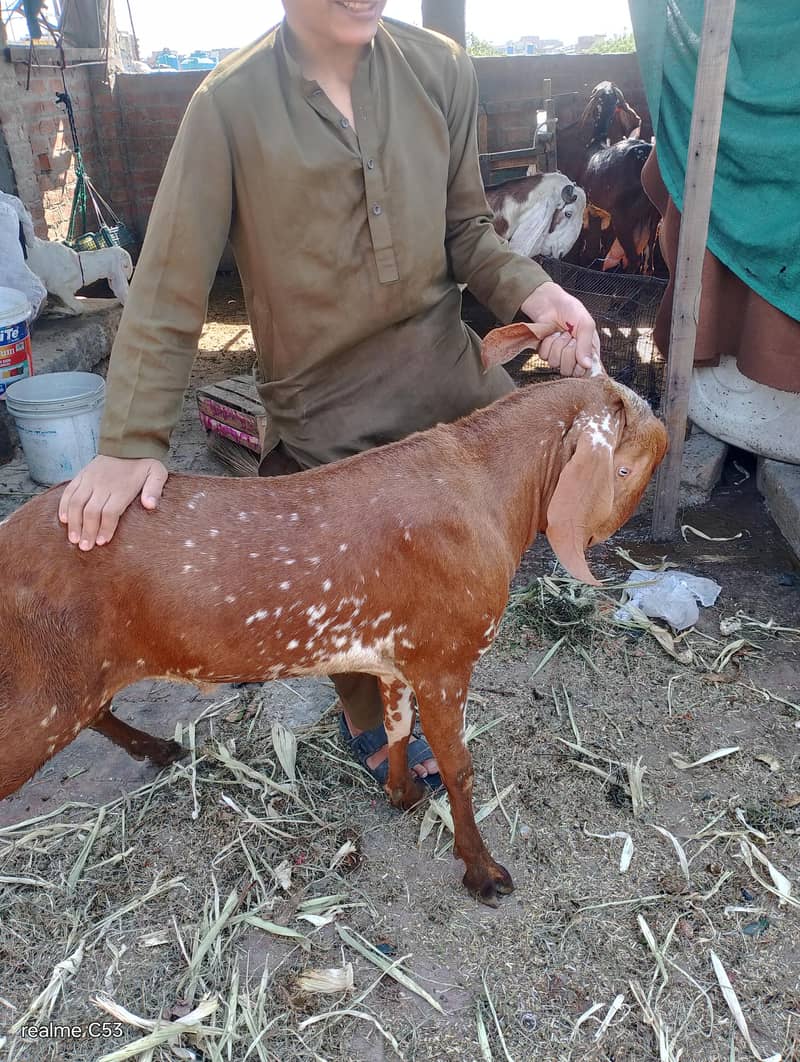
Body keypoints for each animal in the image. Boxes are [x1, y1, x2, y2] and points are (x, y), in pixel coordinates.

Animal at [0, 325, 667, 905]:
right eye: (628, 468)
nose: (611, 530)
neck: (487, 491)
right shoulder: (445, 655)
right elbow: (459, 767)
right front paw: (483, 872)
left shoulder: (396, 654)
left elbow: (397, 727)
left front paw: (401, 794)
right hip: (44, 686)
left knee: (99, 711)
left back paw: (160, 750)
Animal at [577, 82, 660, 274]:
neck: (598, 143)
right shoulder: (604, 213)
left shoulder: (589, 206)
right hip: (654, 217)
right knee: (649, 260)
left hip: (623, 218)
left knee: (634, 259)